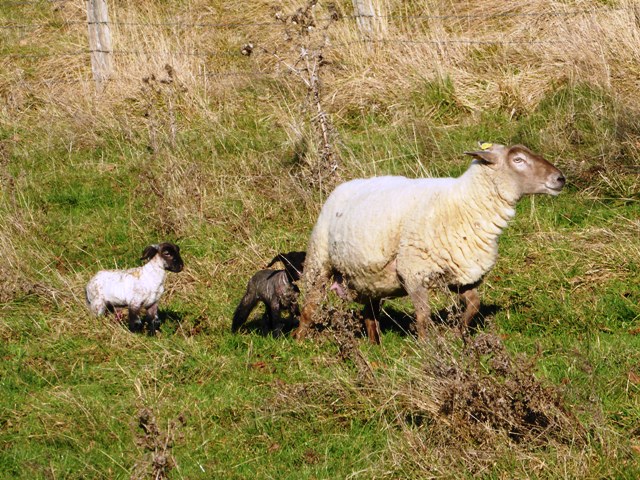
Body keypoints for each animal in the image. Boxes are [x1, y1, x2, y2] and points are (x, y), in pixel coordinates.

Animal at [293, 143, 566, 343]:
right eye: (518, 160)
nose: (560, 179)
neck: (463, 203)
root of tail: (343, 186)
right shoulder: (413, 272)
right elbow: (423, 316)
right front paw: (427, 348)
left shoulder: (461, 273)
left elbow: (474, 305)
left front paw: (458, 334)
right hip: (320, 260)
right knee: (310, 304)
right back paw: (300, 341)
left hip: (369, 277)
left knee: (370, 312)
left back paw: (375, 346)